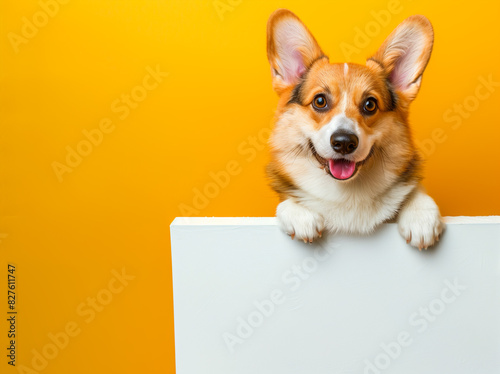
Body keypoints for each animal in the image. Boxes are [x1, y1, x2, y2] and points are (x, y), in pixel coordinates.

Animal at [266, 9, 446, 248]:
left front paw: (420, 217)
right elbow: (285, 202)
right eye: (320, 101)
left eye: (370, 104)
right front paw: (300, 215)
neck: (346, 193)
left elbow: (415, 191)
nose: (344, 142)